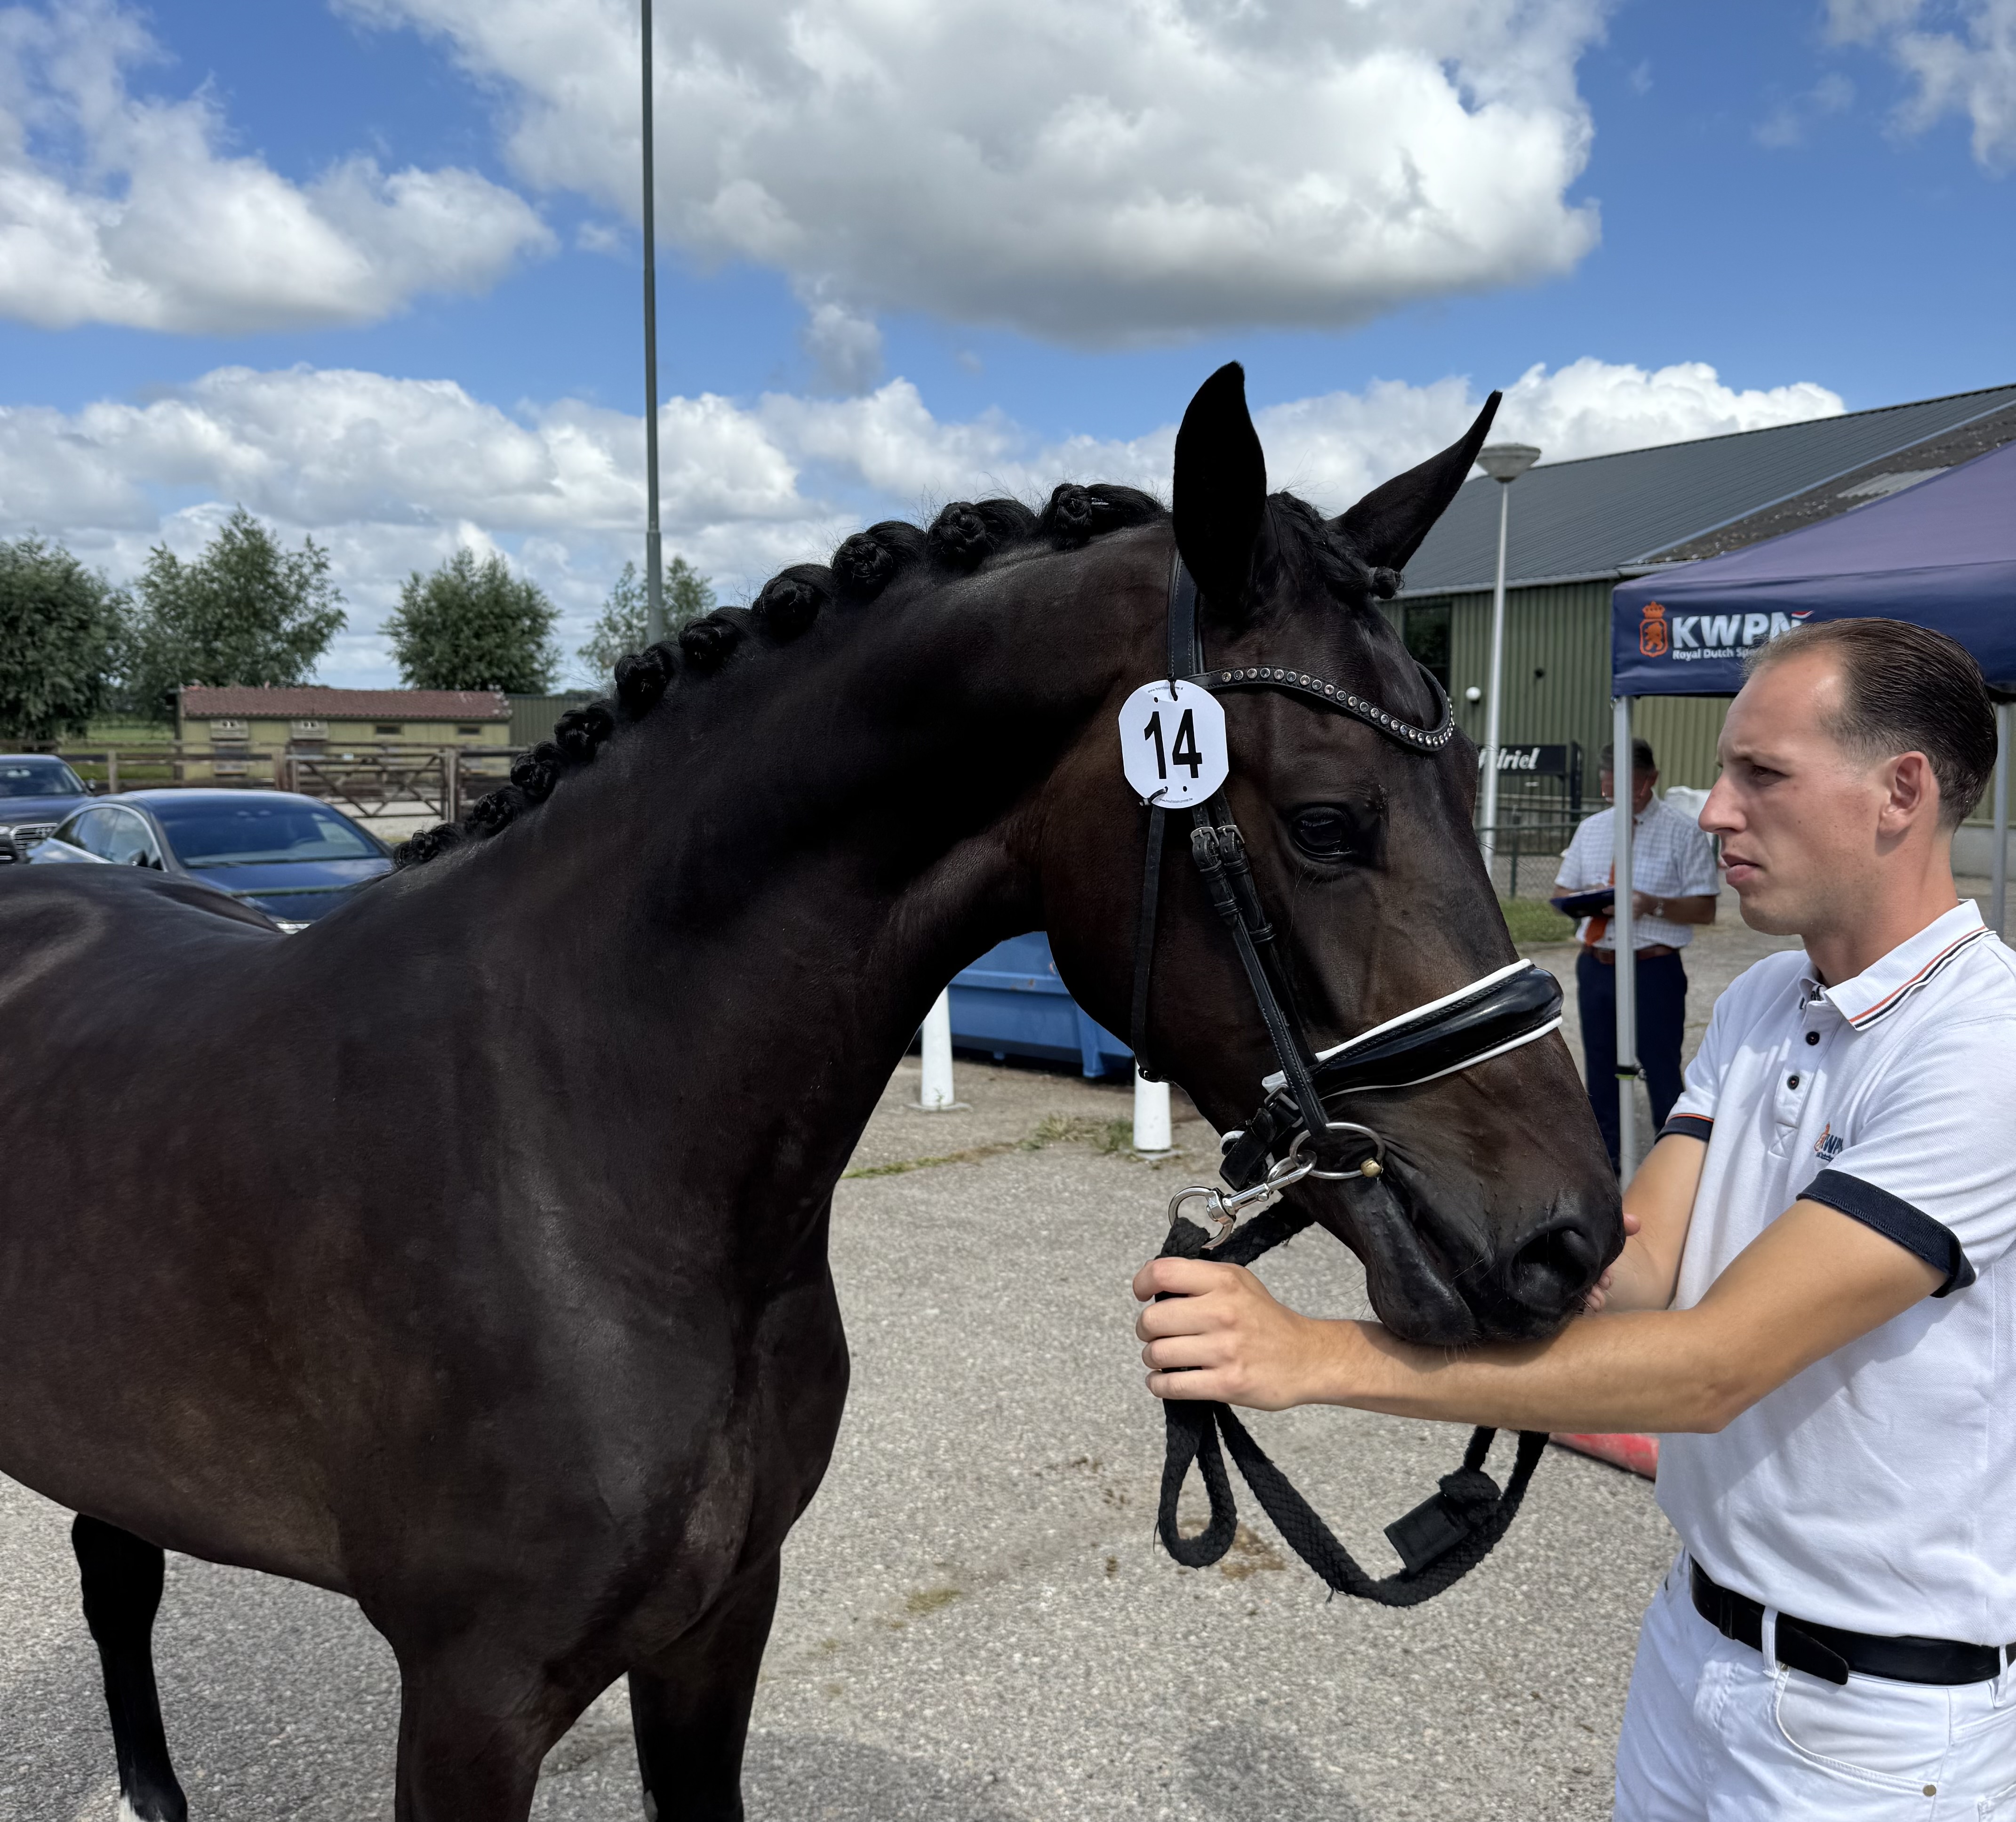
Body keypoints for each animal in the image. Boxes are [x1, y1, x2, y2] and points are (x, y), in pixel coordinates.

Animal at [0, 365, 1619, 1822]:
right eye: (1330, 822)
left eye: (1473, 774)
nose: (1571, 1239)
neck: (577, 1154)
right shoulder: (471, 1699)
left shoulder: (721, 1624)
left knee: (115, 1568)